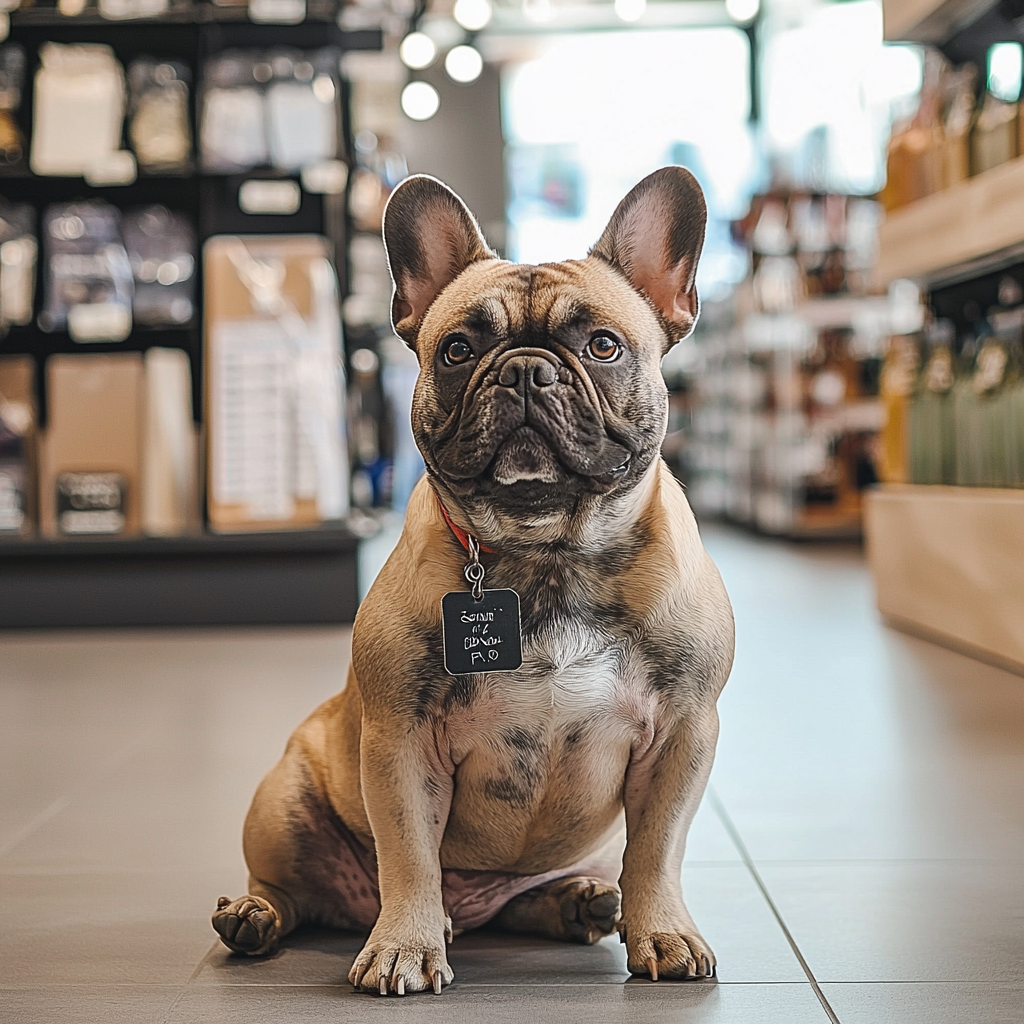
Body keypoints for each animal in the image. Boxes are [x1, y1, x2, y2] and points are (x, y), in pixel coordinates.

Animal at [211, 165, 733, 991]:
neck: (548, 554)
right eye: (457, 349)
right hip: (283, 804)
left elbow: (656, 850)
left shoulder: (683, 735)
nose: (524, 369)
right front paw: (405, 946)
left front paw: (665, 933)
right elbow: (410, 857)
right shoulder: (401, 743)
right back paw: (254, 916)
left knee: (548, 894)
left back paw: (580, 903)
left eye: (604, 345)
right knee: (293, 888)